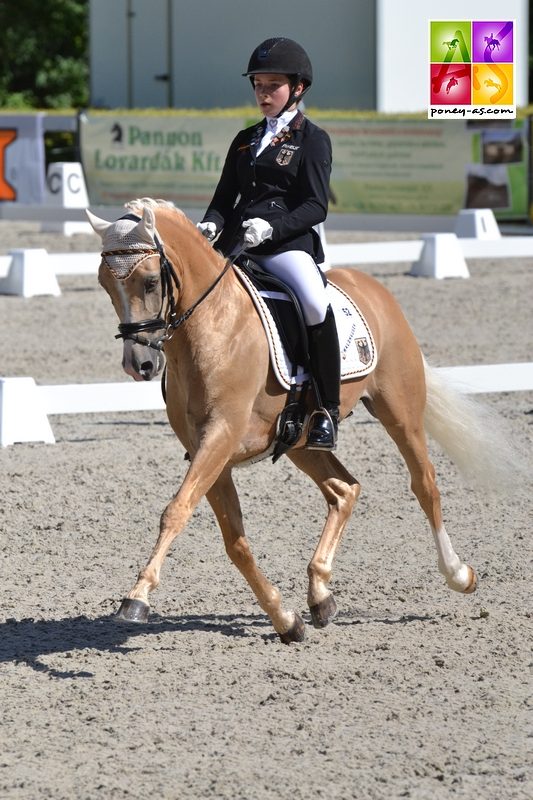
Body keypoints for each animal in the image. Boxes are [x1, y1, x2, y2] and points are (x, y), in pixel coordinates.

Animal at [87, 198, 498, 644]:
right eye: (105, 283)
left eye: (149, 282)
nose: (139, 364)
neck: (213, 326)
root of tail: (373, 289)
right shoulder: (208, 451)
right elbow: (235, 541)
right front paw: (286, 620)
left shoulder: (220, 437)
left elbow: (176, 511)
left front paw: (136, 599)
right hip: (301, 438)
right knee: (344, 490)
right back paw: (320, 595)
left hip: (400, 412)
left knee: (424, 483)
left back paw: (459, 574)